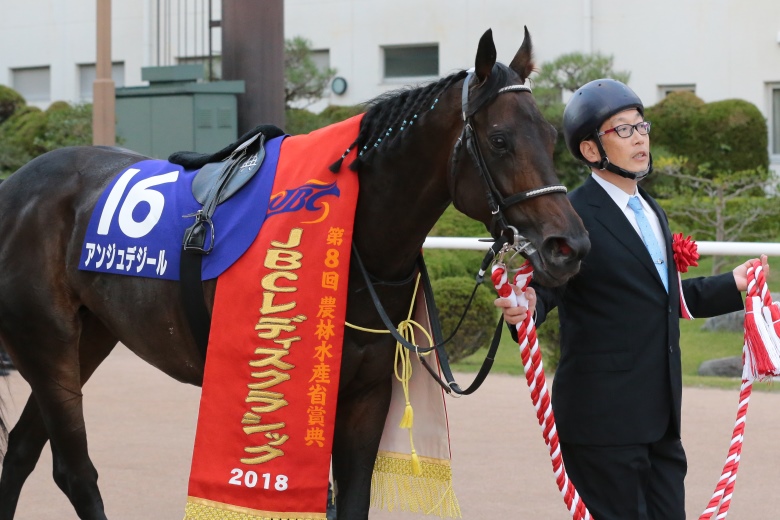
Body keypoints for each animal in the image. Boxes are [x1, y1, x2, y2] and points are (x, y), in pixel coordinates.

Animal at [0, 28, 589, 519]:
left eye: (551, 134)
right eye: (500, 140)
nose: (569, 245)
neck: (356, 244)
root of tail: (16, 185)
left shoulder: (367, 393)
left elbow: (350, 501)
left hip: (87, 339)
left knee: (21, 452)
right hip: (46, 343)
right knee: (74, 472)